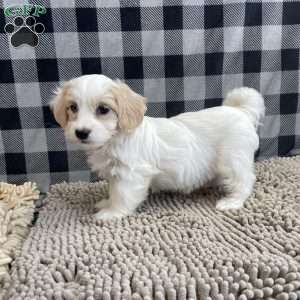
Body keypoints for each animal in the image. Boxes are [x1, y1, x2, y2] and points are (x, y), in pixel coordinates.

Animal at [50, 74, 264, 220]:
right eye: (73, 107)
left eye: (103, 109)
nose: (81, 132)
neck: (115, 139)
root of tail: (241, 110)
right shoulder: (115, 174)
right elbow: (113, 191)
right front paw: (107, 203)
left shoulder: (130, 174)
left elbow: (122, 195)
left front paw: (111, 212)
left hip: (233, 160)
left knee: (245, 180)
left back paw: (232, 202)